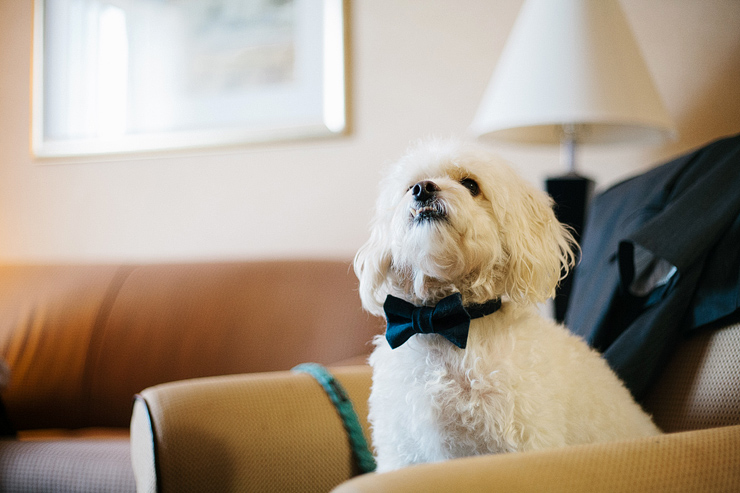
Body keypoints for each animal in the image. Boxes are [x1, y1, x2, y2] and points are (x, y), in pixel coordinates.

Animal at [352, 140, 660, 470]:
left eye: (471, 185)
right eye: (410, 186)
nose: (423, 189)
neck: (447, 319)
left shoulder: (527, 442)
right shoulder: (402, 452)